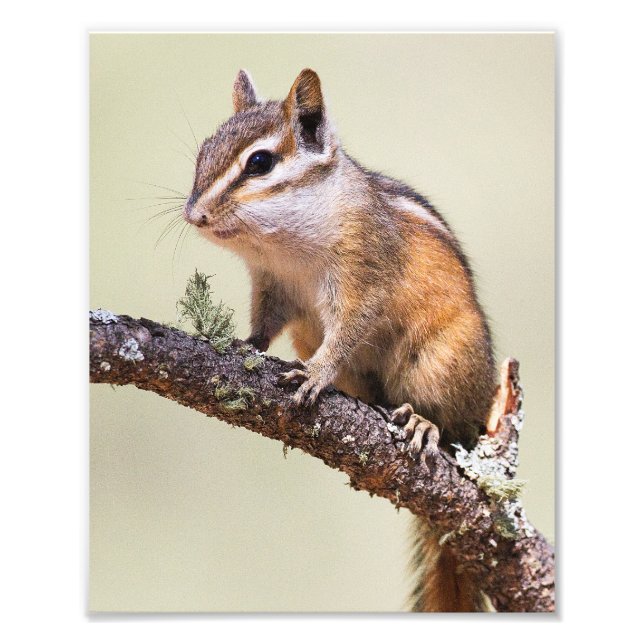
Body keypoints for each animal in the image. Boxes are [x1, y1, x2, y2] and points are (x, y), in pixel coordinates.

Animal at [183, 69, 498, 612]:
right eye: (204, 150)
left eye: (259, 162)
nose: (193, 215)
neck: (283, 246)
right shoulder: (271, 284)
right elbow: (265, 323)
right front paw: (247, 345)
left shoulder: (362, 275)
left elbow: (349, 330)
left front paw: (315, 374)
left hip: (443, 363)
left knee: (453, 429)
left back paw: (424, 424)